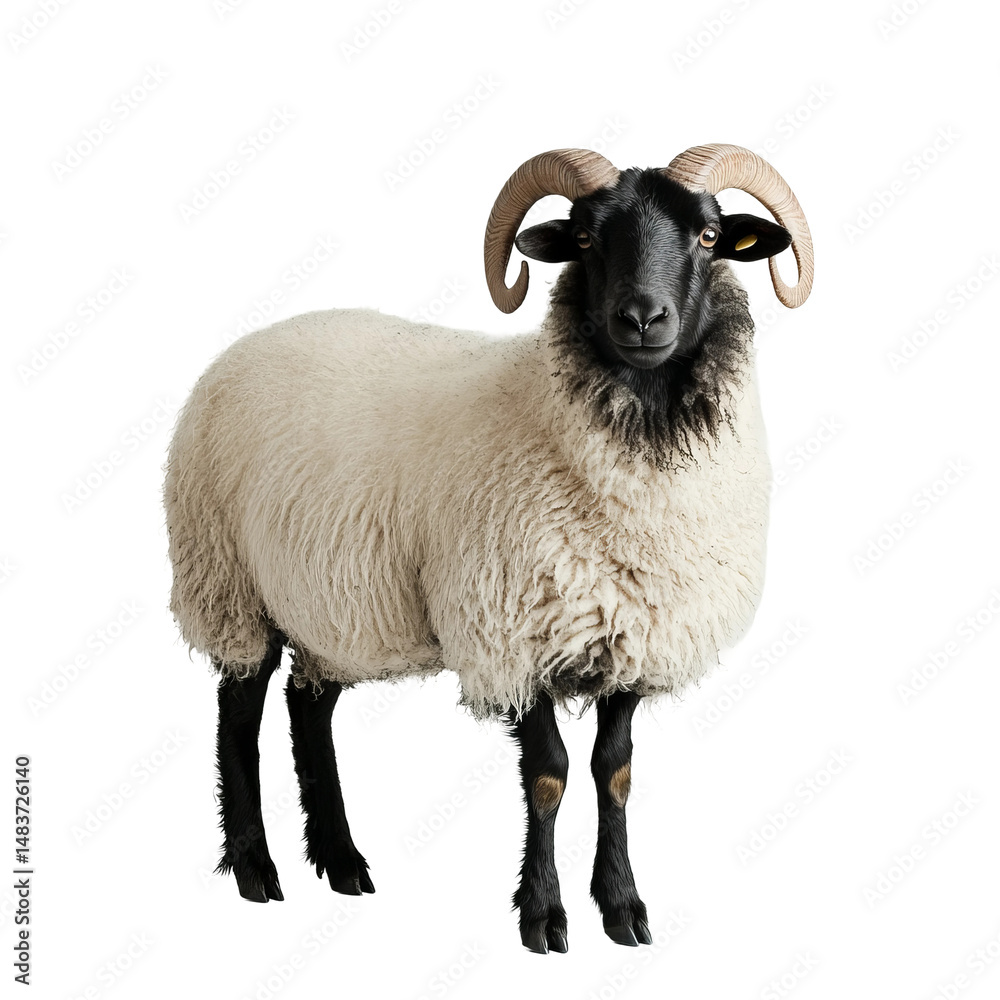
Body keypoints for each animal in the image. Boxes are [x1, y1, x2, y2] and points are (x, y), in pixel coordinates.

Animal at [164, 142, 813, 953]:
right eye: (587, 237)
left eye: (708, 235)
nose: (641, 318)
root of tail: (243, 345)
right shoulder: (512, 635)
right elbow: (549, 775)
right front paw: (543, 915)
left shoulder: (634, 635)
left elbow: (615, 772)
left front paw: (622, 905)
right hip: (228, 581)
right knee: (240, 714)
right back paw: (256, 869)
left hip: (330, 603)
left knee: (306, 708)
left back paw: (342, 861)